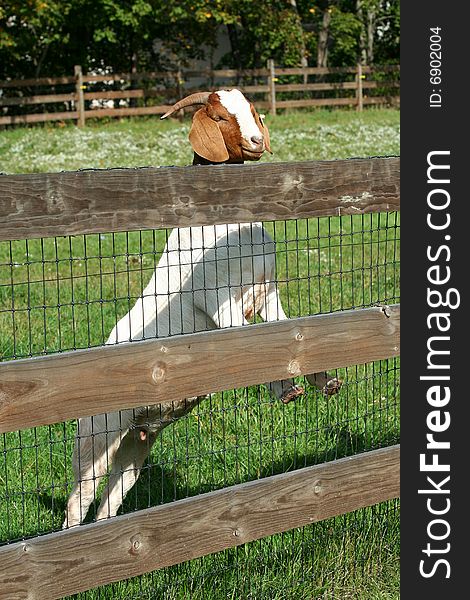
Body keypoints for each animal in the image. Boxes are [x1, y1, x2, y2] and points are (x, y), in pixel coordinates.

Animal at [63, 89, 342, 528]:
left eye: (252, 110)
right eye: (220, 116)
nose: (257, 142)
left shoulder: (268, 294)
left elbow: (286, 334)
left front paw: (322, 380)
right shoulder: (219, 301)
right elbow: (254, 341)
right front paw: (286, 389)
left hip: (135, 443)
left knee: (112, 496)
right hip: (97, 433)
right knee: (79, 499)